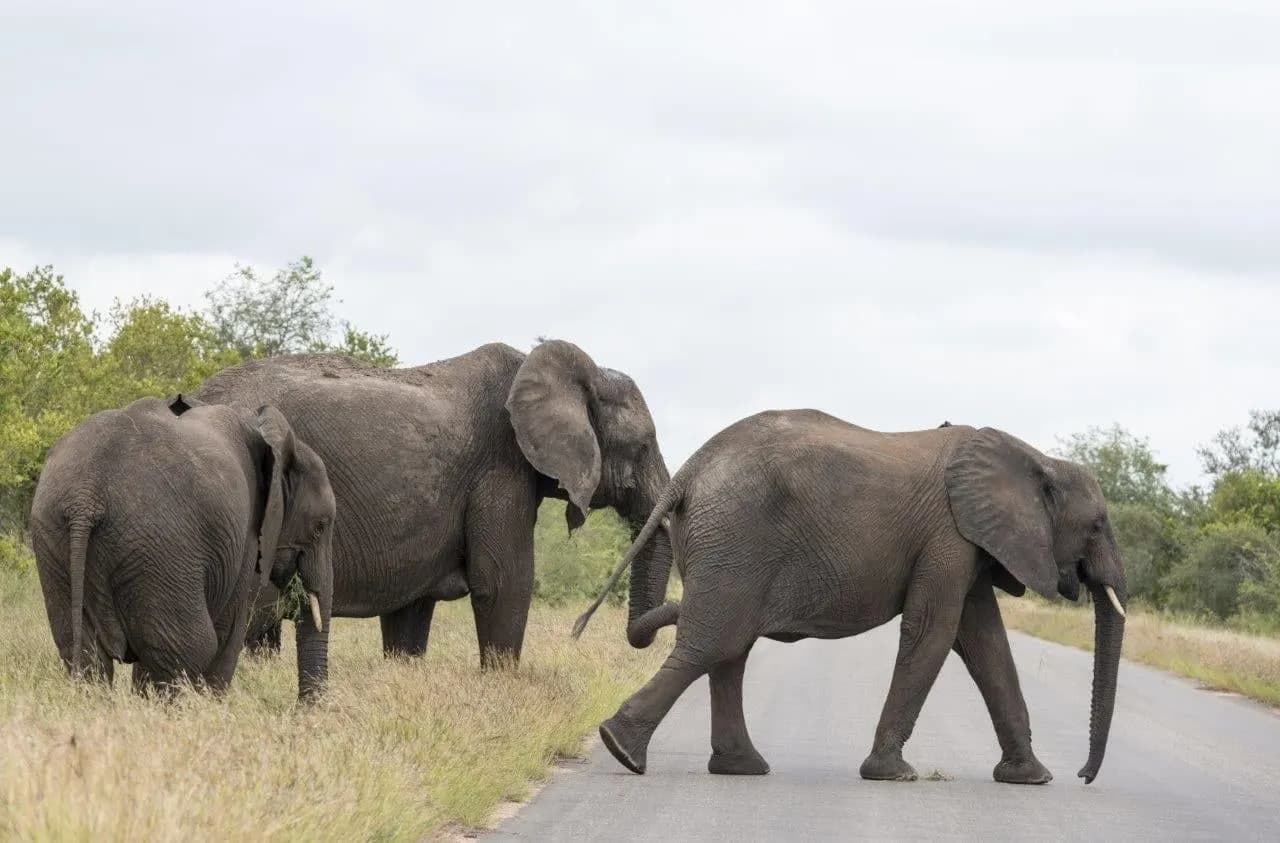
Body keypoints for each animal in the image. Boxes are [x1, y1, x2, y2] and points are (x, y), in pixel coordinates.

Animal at [28, 394, 336, 699]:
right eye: (320, 526)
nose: (303, 708)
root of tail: (87, 498)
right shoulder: (245, 531)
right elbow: (228, 632)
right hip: (159, 546)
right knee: (188, 647)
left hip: (55, 536)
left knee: (88, 654)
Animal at [574, 411, 1127, 784]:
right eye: (1097, 526)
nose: (1084, 776)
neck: (1038, 459)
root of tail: (689, 470)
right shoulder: (949, 536)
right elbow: (935, 632)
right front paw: (893, 774)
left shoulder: (968, 544)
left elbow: (986, 643)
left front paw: (1032, 778)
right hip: (736, 536)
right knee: (716, 642)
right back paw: (623, 750)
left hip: (720, 542)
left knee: (729, 649)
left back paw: (740, 767)